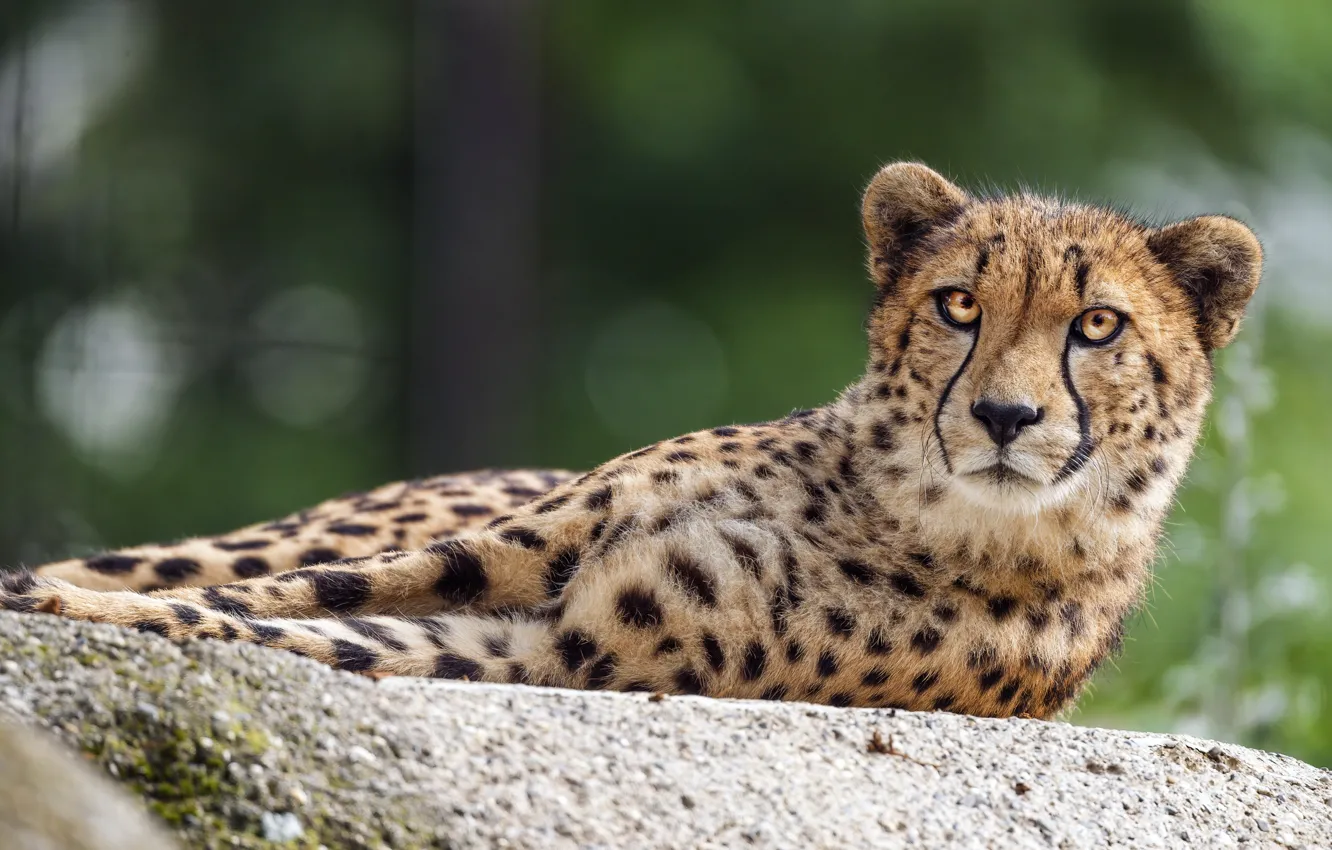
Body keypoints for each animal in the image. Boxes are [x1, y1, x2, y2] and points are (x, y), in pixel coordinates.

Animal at [0, 162, 1263, 718]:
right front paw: (49, 597)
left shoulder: (559, 649)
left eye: (1096, 326)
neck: (897, 506)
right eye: (959, 305)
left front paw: (75, 612)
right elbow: (280, 593)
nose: (1005, 417)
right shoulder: (518, 552)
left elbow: (299, 628)